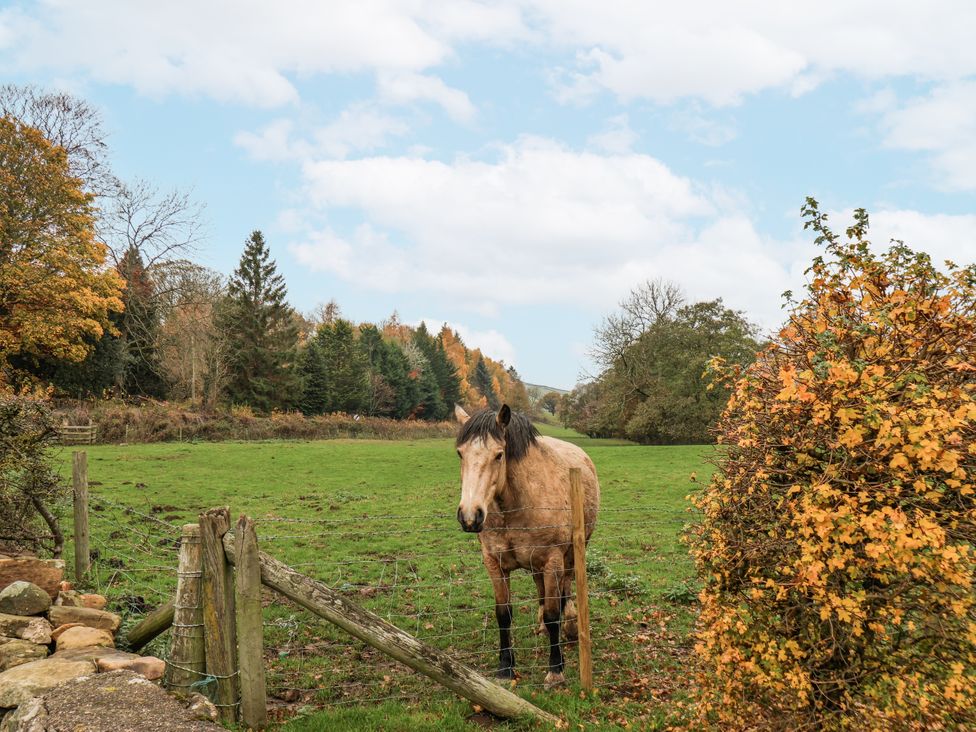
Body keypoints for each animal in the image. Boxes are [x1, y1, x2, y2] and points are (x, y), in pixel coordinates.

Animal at [454, 403, 600, 688]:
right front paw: (505, 667)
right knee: (542, 591)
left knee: (565, 589)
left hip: (571, 554)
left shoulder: (553, 560)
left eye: (499, 455)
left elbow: (554, 613)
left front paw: (556, 670)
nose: (469, 516)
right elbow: (503, 614)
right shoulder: (494, 564)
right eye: (460, 453)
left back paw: (569, 626)